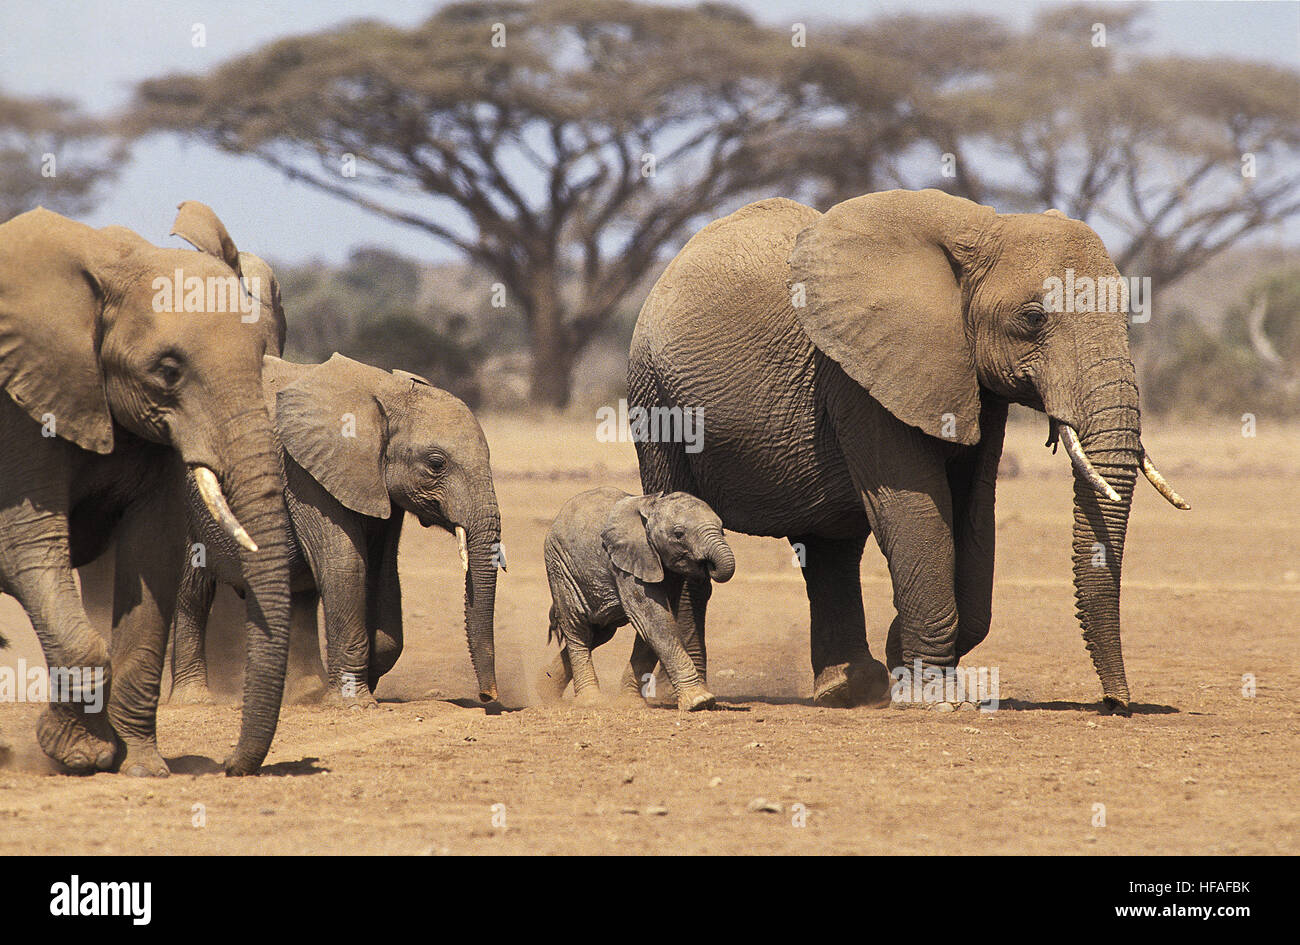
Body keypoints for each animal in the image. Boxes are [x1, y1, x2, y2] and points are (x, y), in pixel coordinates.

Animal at [0, 201, 292, 774]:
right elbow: (27, 543)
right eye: (168, 370)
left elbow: (153, 549)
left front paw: (139, 765)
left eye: (264, 355)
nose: (231, 766)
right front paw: (82, 752)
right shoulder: (18, 407)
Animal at [169, 350, 501, 707]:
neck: (385, 391)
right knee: (193, 590)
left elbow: (383, 574)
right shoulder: (305, 474)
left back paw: (303, 693)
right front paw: (354, 704)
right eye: (436, 463)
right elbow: (344, 565)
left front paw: (359, 681)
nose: (487, 696)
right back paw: (193, 700)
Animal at [535, 488, 738, 707]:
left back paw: (546, 690)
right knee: (578, 628)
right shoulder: (626, 563)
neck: (651, 507)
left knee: (598, 632)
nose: (707, 565)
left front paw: (629, 702)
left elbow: (657, 622)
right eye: (679, 534)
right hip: (560, 567)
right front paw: (700, 701)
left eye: (722, 530)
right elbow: (653, 620)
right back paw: (591, 701)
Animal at [629, 189, 1190, 707]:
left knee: (830, 549)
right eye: (1034, 318)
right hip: (655, 397)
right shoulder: (859, 374)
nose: (1115, 704)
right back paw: (676, 694)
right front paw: (935, 696)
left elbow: (974, 510)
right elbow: (915, 507)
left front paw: (904, 659)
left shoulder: (967, 378)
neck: (983, 228)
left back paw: (848, 688)